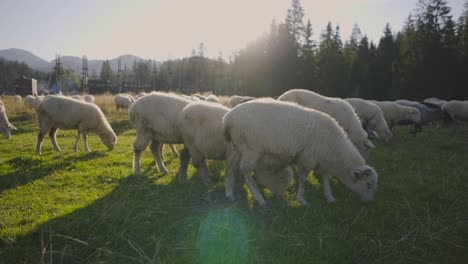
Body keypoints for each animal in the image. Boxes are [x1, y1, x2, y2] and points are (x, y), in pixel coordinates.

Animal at [221, 99, 378, 206]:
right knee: (245, 172)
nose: (369, 203)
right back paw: (260, 199)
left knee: (230, 168)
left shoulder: (321, 160)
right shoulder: (307, 158)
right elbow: (303, 179)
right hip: (251, 149)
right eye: (368, 184)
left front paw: (329, 197)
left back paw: (229, 194)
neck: (335, 150)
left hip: (236, 146)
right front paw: (301, 199)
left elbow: (325, 178)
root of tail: (228, 118)